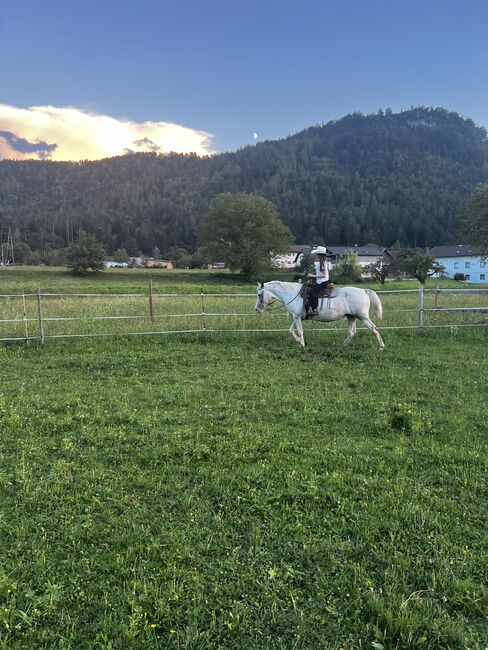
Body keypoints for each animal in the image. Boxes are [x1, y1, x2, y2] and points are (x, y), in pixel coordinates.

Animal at [255, 278, 386, 350]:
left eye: (259, 294)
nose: (256, 309)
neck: (291, 294)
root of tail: (364, 290)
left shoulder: (296, 317)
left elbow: (299, 331)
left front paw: (302, 344)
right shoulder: (298, 317)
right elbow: (291, 330)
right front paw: (299, 342)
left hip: (362, 317)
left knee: (374, 329)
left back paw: (381, 347)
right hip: (351, 317)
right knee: (351, 332)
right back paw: (343, 345)